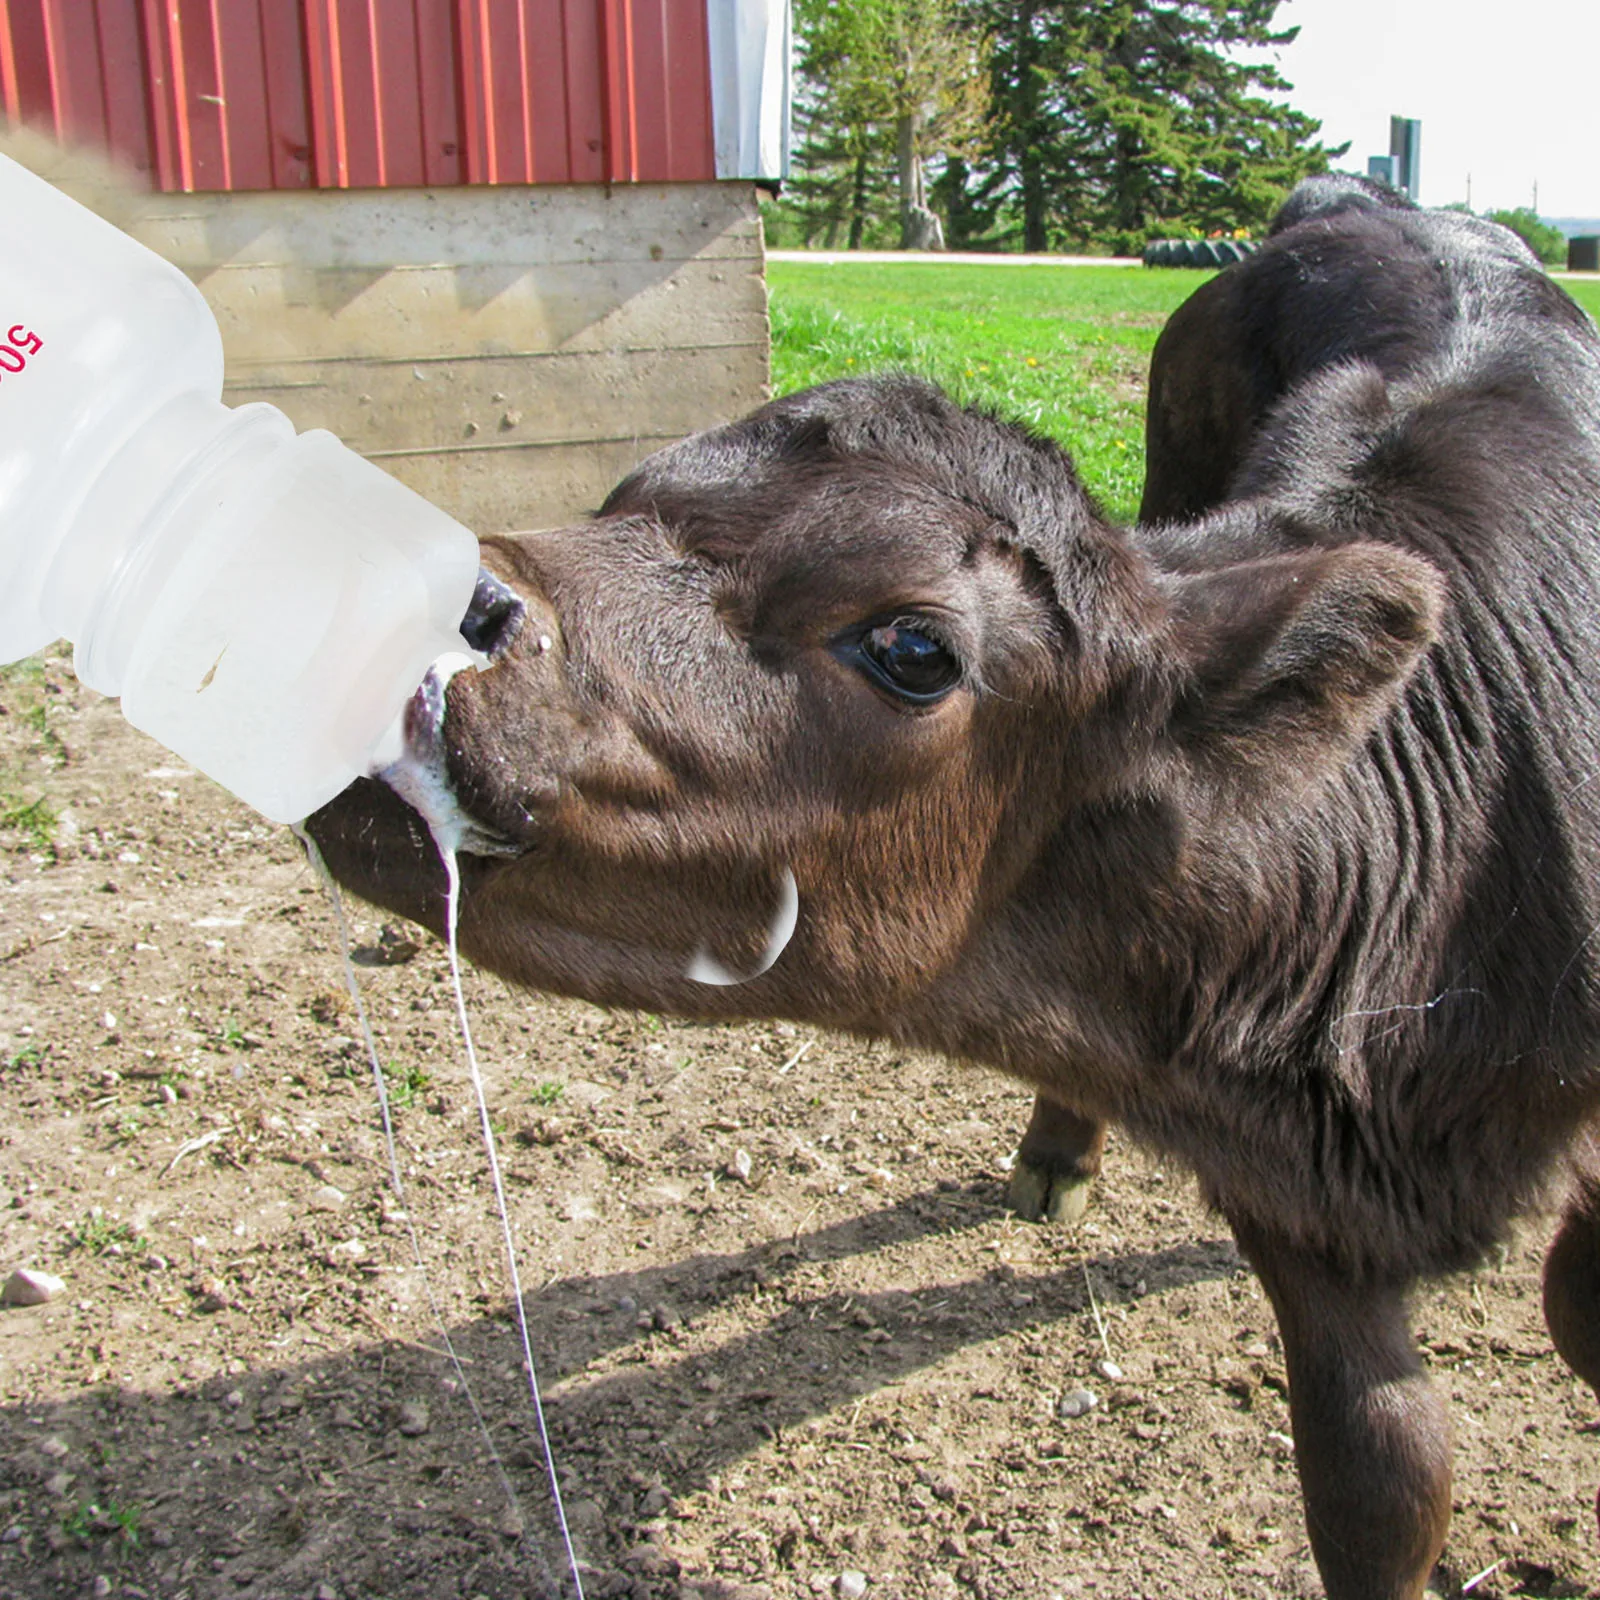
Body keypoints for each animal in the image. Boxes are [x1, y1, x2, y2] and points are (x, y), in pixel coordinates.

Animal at [307, 179, 1600, 1600]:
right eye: (616, 494)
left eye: (913, 647)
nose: (421, 592)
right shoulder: (1284, 1162)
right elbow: (1380, 1476)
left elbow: (1564, 1317)